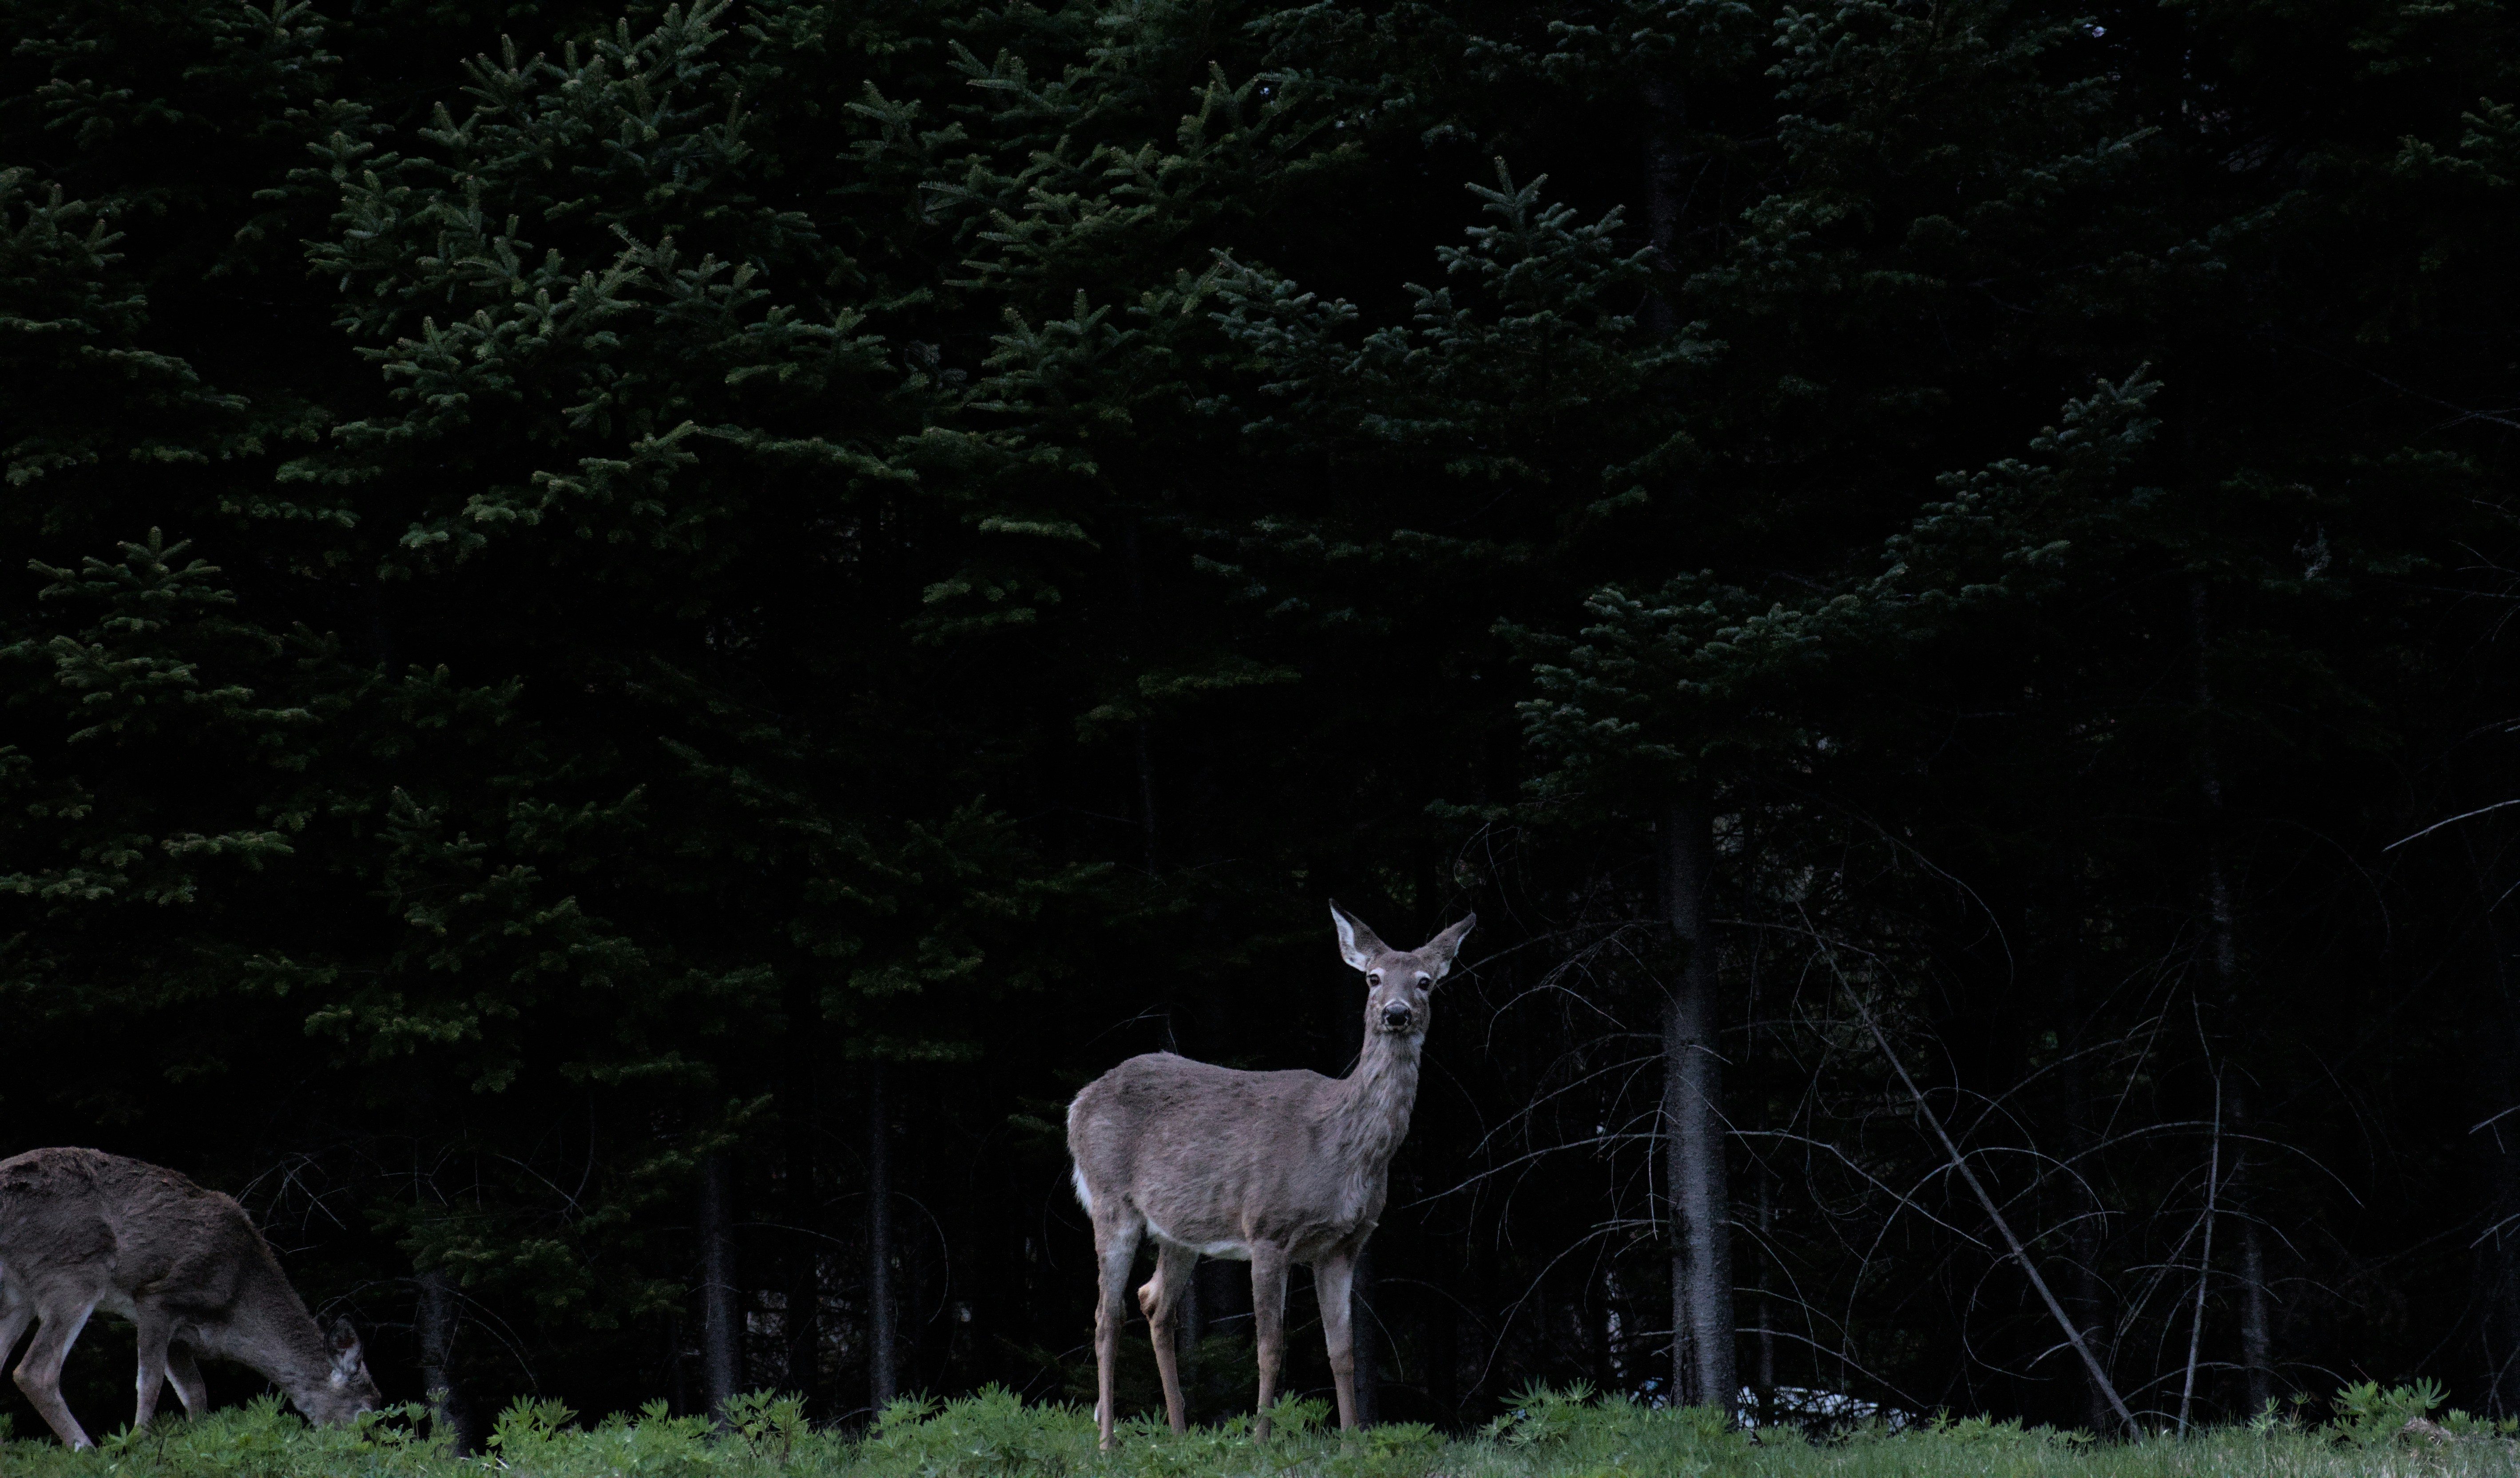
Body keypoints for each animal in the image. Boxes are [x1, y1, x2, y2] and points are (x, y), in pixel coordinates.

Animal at [0, 1146, 380, 1448]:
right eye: (365, 1411)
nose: (365, 1448)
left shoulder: (181, 1336)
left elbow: (195, 1393)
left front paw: (197, 1440)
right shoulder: (158, 1296)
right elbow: (150, 1383)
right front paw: (138, 1445)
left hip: (18, 1297)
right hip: (75, 1267)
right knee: (34, 1372)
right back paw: (88, 1451)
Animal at [1066, 901, 1473, 1450]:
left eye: (1425, 982)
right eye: (1372, 977)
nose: (1395, 1012)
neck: (1343, 1150)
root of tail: (1079, 1103)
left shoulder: (1343, 1245)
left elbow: (1342, 1352)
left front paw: (1352, 1441)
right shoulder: (1266, 1230)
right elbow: (1270, 1347)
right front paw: (1260, 1440)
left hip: (1180, 1229)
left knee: (1154, 1302)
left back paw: (1178, 1433)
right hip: (1111, 1200)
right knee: (1106, 1317)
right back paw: (1108, 1442)